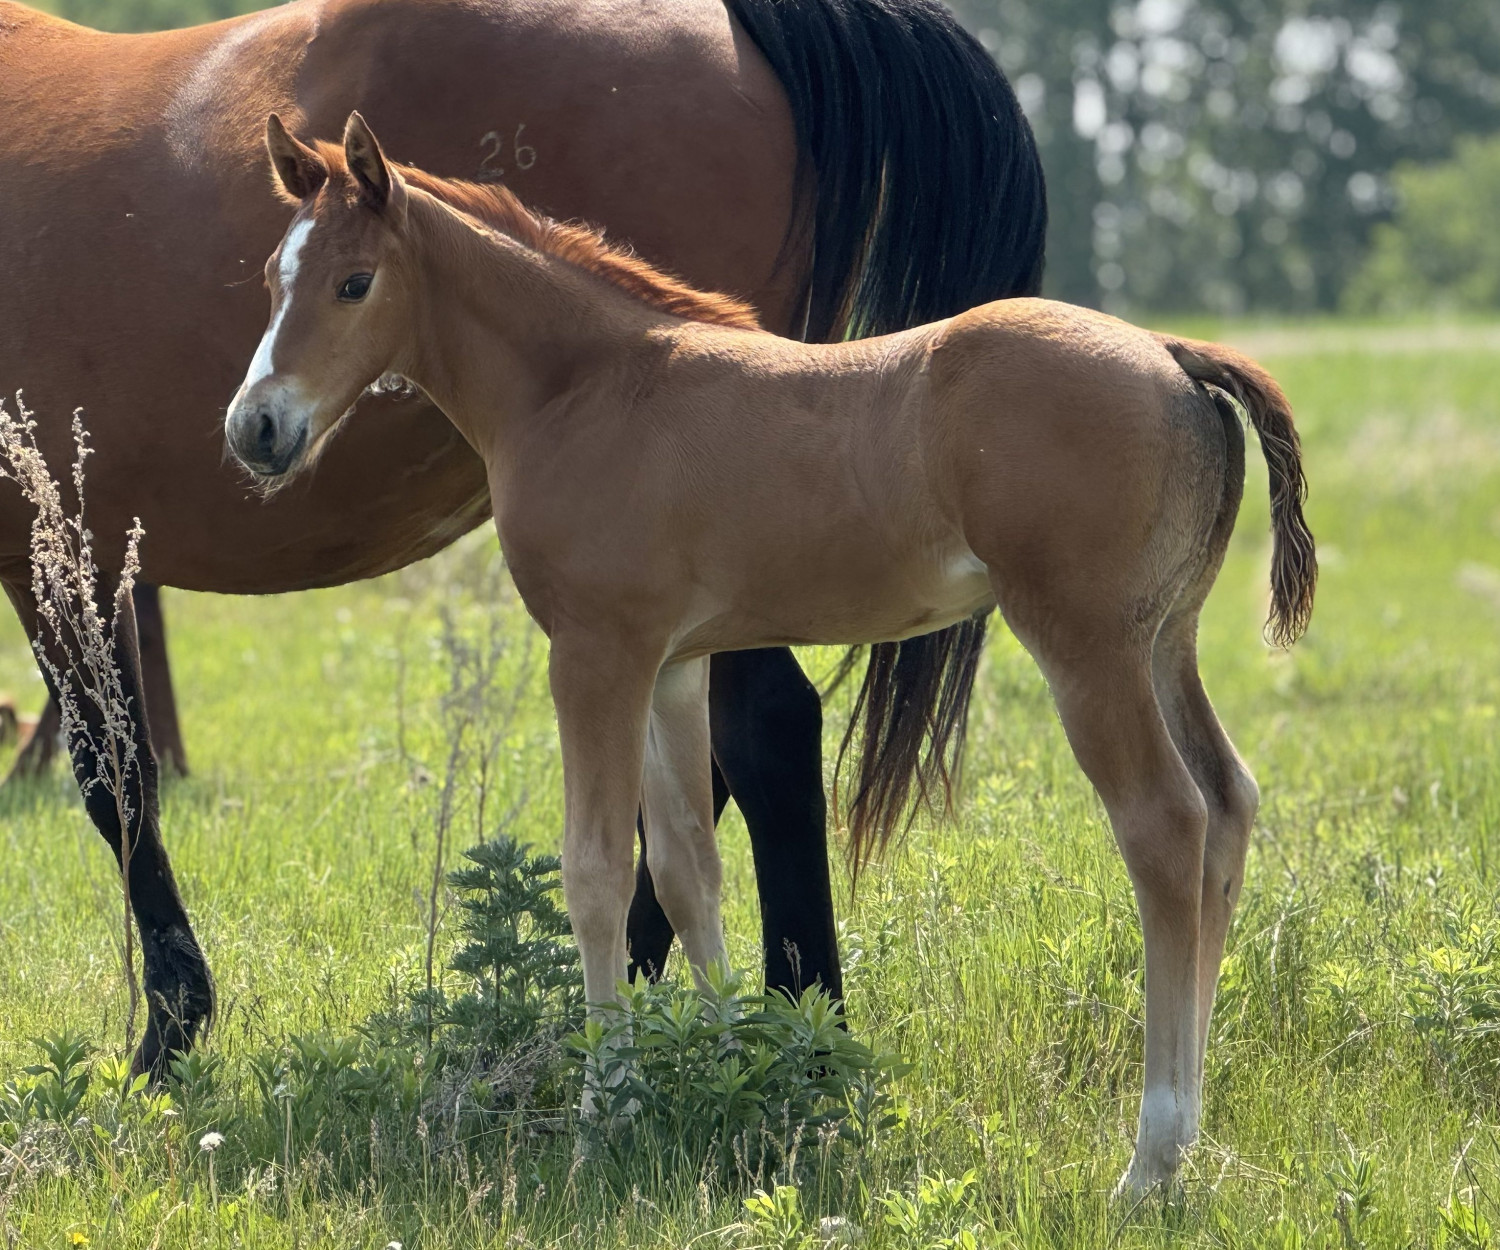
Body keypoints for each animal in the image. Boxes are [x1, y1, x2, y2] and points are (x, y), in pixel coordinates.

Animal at [0, 0, 1046, 1077]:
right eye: (270, 279)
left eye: (354, 284)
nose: (256, 427)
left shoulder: (51, 547)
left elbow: (116, 778)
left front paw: (166, 1033)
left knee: (765, 736)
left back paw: (788, 1020)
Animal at [225, 114, 1315, 1192]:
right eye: (274, 276)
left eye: (354, 281)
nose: (256, 427)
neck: (584, 387)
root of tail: (1171, 354)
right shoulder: (672, 664)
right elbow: (685, 869)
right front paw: (723, 1078)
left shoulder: (595, 652)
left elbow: (596, 872)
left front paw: (602, 1117)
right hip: (1165, 640)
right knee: (1228, 801)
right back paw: (1191, 1135)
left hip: (1088, 647)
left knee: (1165, 824)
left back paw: (1152, 1159)